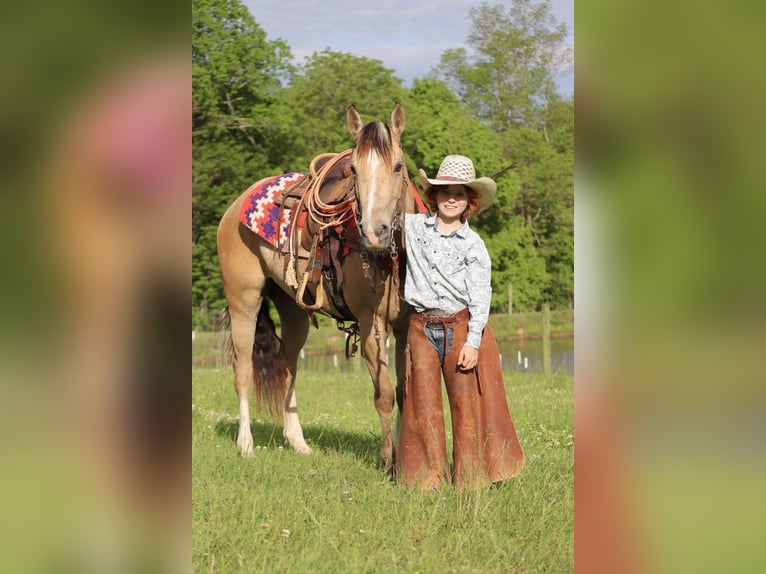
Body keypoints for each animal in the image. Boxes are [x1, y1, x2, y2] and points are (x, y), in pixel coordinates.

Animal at [216, 103, 424, 472]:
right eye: (353, 169)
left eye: (398, 166)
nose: (374, 233)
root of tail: (235, 205)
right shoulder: (371, 326)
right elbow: (384, 395)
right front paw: (387, 461)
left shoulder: (403, 327)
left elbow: (403, 391)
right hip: (244, 301)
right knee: (242, 370)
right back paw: (246, 445)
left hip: (293, 310)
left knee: (289, 366)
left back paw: (298, 443)